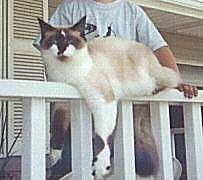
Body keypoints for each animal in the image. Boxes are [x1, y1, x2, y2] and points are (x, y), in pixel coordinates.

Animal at [37, 16, 181, 179]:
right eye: (55, 41)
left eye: (70, 41)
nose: (61, 50)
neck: (66, 72)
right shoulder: (62, 101)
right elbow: (57, 126)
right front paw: (55, 155)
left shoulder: (103, 99)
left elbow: (102, 138)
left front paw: (100, 167)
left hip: (153, 76)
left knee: (172, 79)